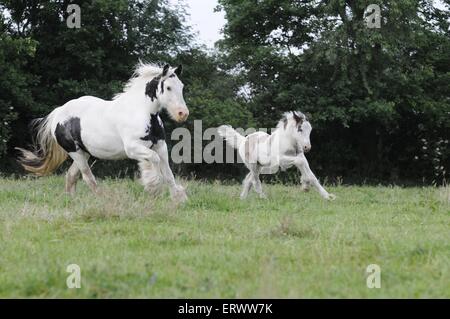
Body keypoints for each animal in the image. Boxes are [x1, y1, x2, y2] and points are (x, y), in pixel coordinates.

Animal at [17, 62, 190, 202]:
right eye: (168, 87)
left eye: (181, 86)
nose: (183, 113)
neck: (142, 112)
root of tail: (58, 113)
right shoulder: (133, 149)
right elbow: (154, 161)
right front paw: (153, 186)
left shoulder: (160, 146)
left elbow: (168, 173)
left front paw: (177, 198)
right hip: (75, 153)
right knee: (88, 177)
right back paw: (104, 199)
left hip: (84, 153)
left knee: (71, 176)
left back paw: (72, 201)